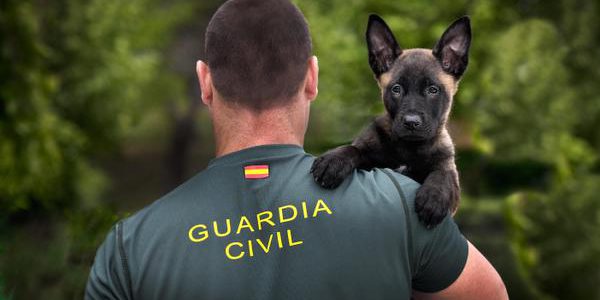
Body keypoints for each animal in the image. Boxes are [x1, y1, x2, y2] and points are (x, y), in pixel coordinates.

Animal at [312, 13, 472, 225]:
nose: (411, 122)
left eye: (433, 90)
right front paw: (334, 160)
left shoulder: (449, 173)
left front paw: (434, 198)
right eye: (396, 89)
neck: (409, 148)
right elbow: (354, 149)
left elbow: (442, 175)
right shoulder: (368, 154)